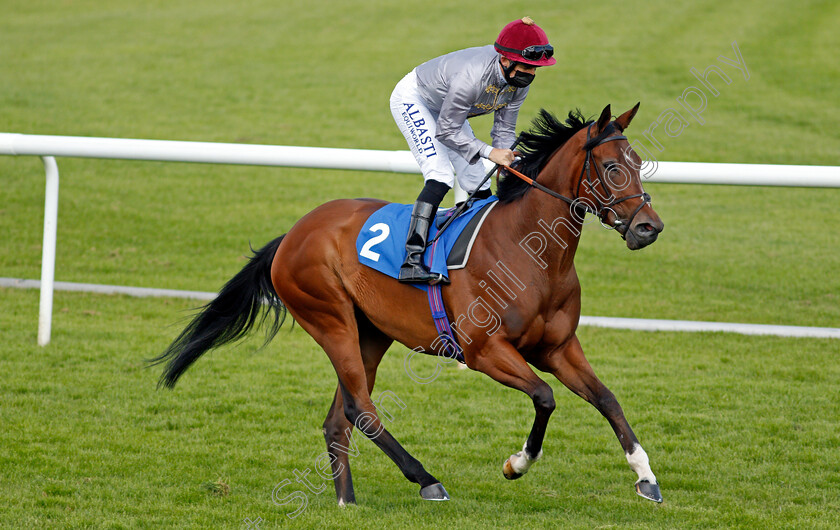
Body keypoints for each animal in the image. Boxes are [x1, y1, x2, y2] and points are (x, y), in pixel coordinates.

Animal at [149, 102, 664, 504]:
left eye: (638, 162)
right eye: (611, 167)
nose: (649, 227)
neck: (531, 251)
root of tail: (293, 234)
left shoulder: (557, 347)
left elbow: (607, 398)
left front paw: (646, 477)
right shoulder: (484, 351)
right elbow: (544, 396)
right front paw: (516, 463)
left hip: (371, 334)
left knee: (339, 417)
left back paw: (347, 499)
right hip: (331, 320)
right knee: (360, 409)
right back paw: (426, 479)